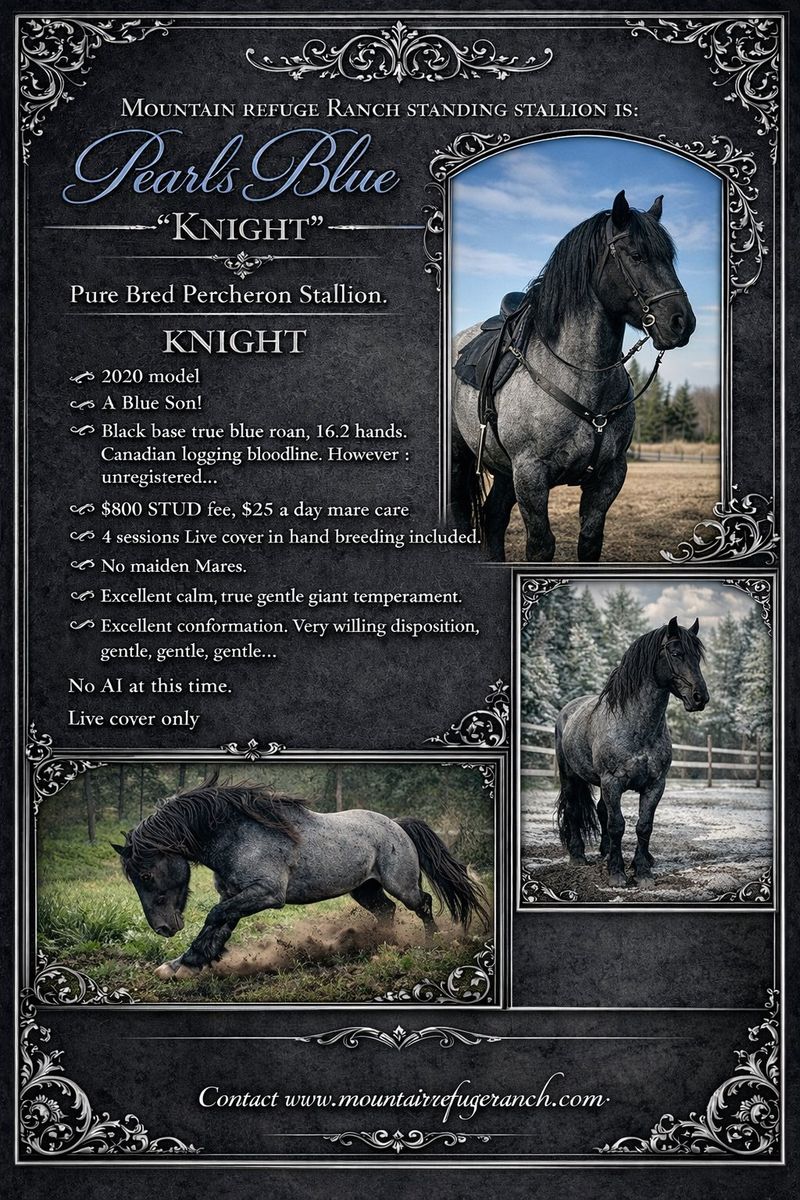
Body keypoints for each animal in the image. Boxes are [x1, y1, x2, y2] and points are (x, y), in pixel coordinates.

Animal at [112, 777, 489, 979]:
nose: (163, 928)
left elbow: (214, 918)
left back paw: (430, 944)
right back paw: (380, 944)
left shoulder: (266, 893)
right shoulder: (235, 895)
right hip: (364, 890)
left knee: (422, 904)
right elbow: (218, 925)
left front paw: (189, 963)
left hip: (402, 884)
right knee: (387, 911)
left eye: (146, 873)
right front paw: (185, 964)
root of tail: (397, 825)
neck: (239, 834)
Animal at [451, 190, 696, 561]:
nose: (682, 323)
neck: (582, 378)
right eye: (636, 255)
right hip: (461, 458)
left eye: (669, 258)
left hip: (504, 470)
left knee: (494, 517)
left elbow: (590, 540)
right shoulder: (531, 475)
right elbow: (541, 546)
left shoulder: (609, 476)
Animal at [554, 617, 708, 889]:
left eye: (697, 657)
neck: (636, 726)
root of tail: (567, 711)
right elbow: (617, 825)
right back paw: (578, 856)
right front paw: (617, 873)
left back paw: (606, 852)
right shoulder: (612, 782)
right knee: (573, 810)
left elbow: (644, 826)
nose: (700, 697)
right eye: (676, 653)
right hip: (571, 777)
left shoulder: (655, 785)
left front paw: (643, 871)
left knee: (601, 810)